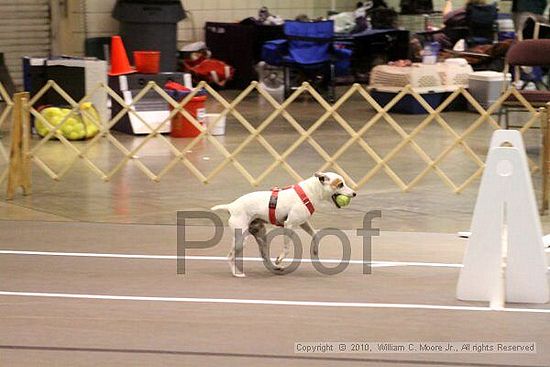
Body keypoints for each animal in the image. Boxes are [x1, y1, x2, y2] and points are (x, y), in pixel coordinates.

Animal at [211, 172, 358, 276]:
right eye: (340, 184)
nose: (354, 193)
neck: (310, 192)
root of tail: (231, 206)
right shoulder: (289, 225)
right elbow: (287, 249)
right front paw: (280, 258)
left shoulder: (303, 223)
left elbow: (315, 235)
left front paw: (315, 250)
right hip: (241, 238)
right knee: (230, 256)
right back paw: (237, 273)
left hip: (261, 236)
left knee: (264, 256)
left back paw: (275, 267)